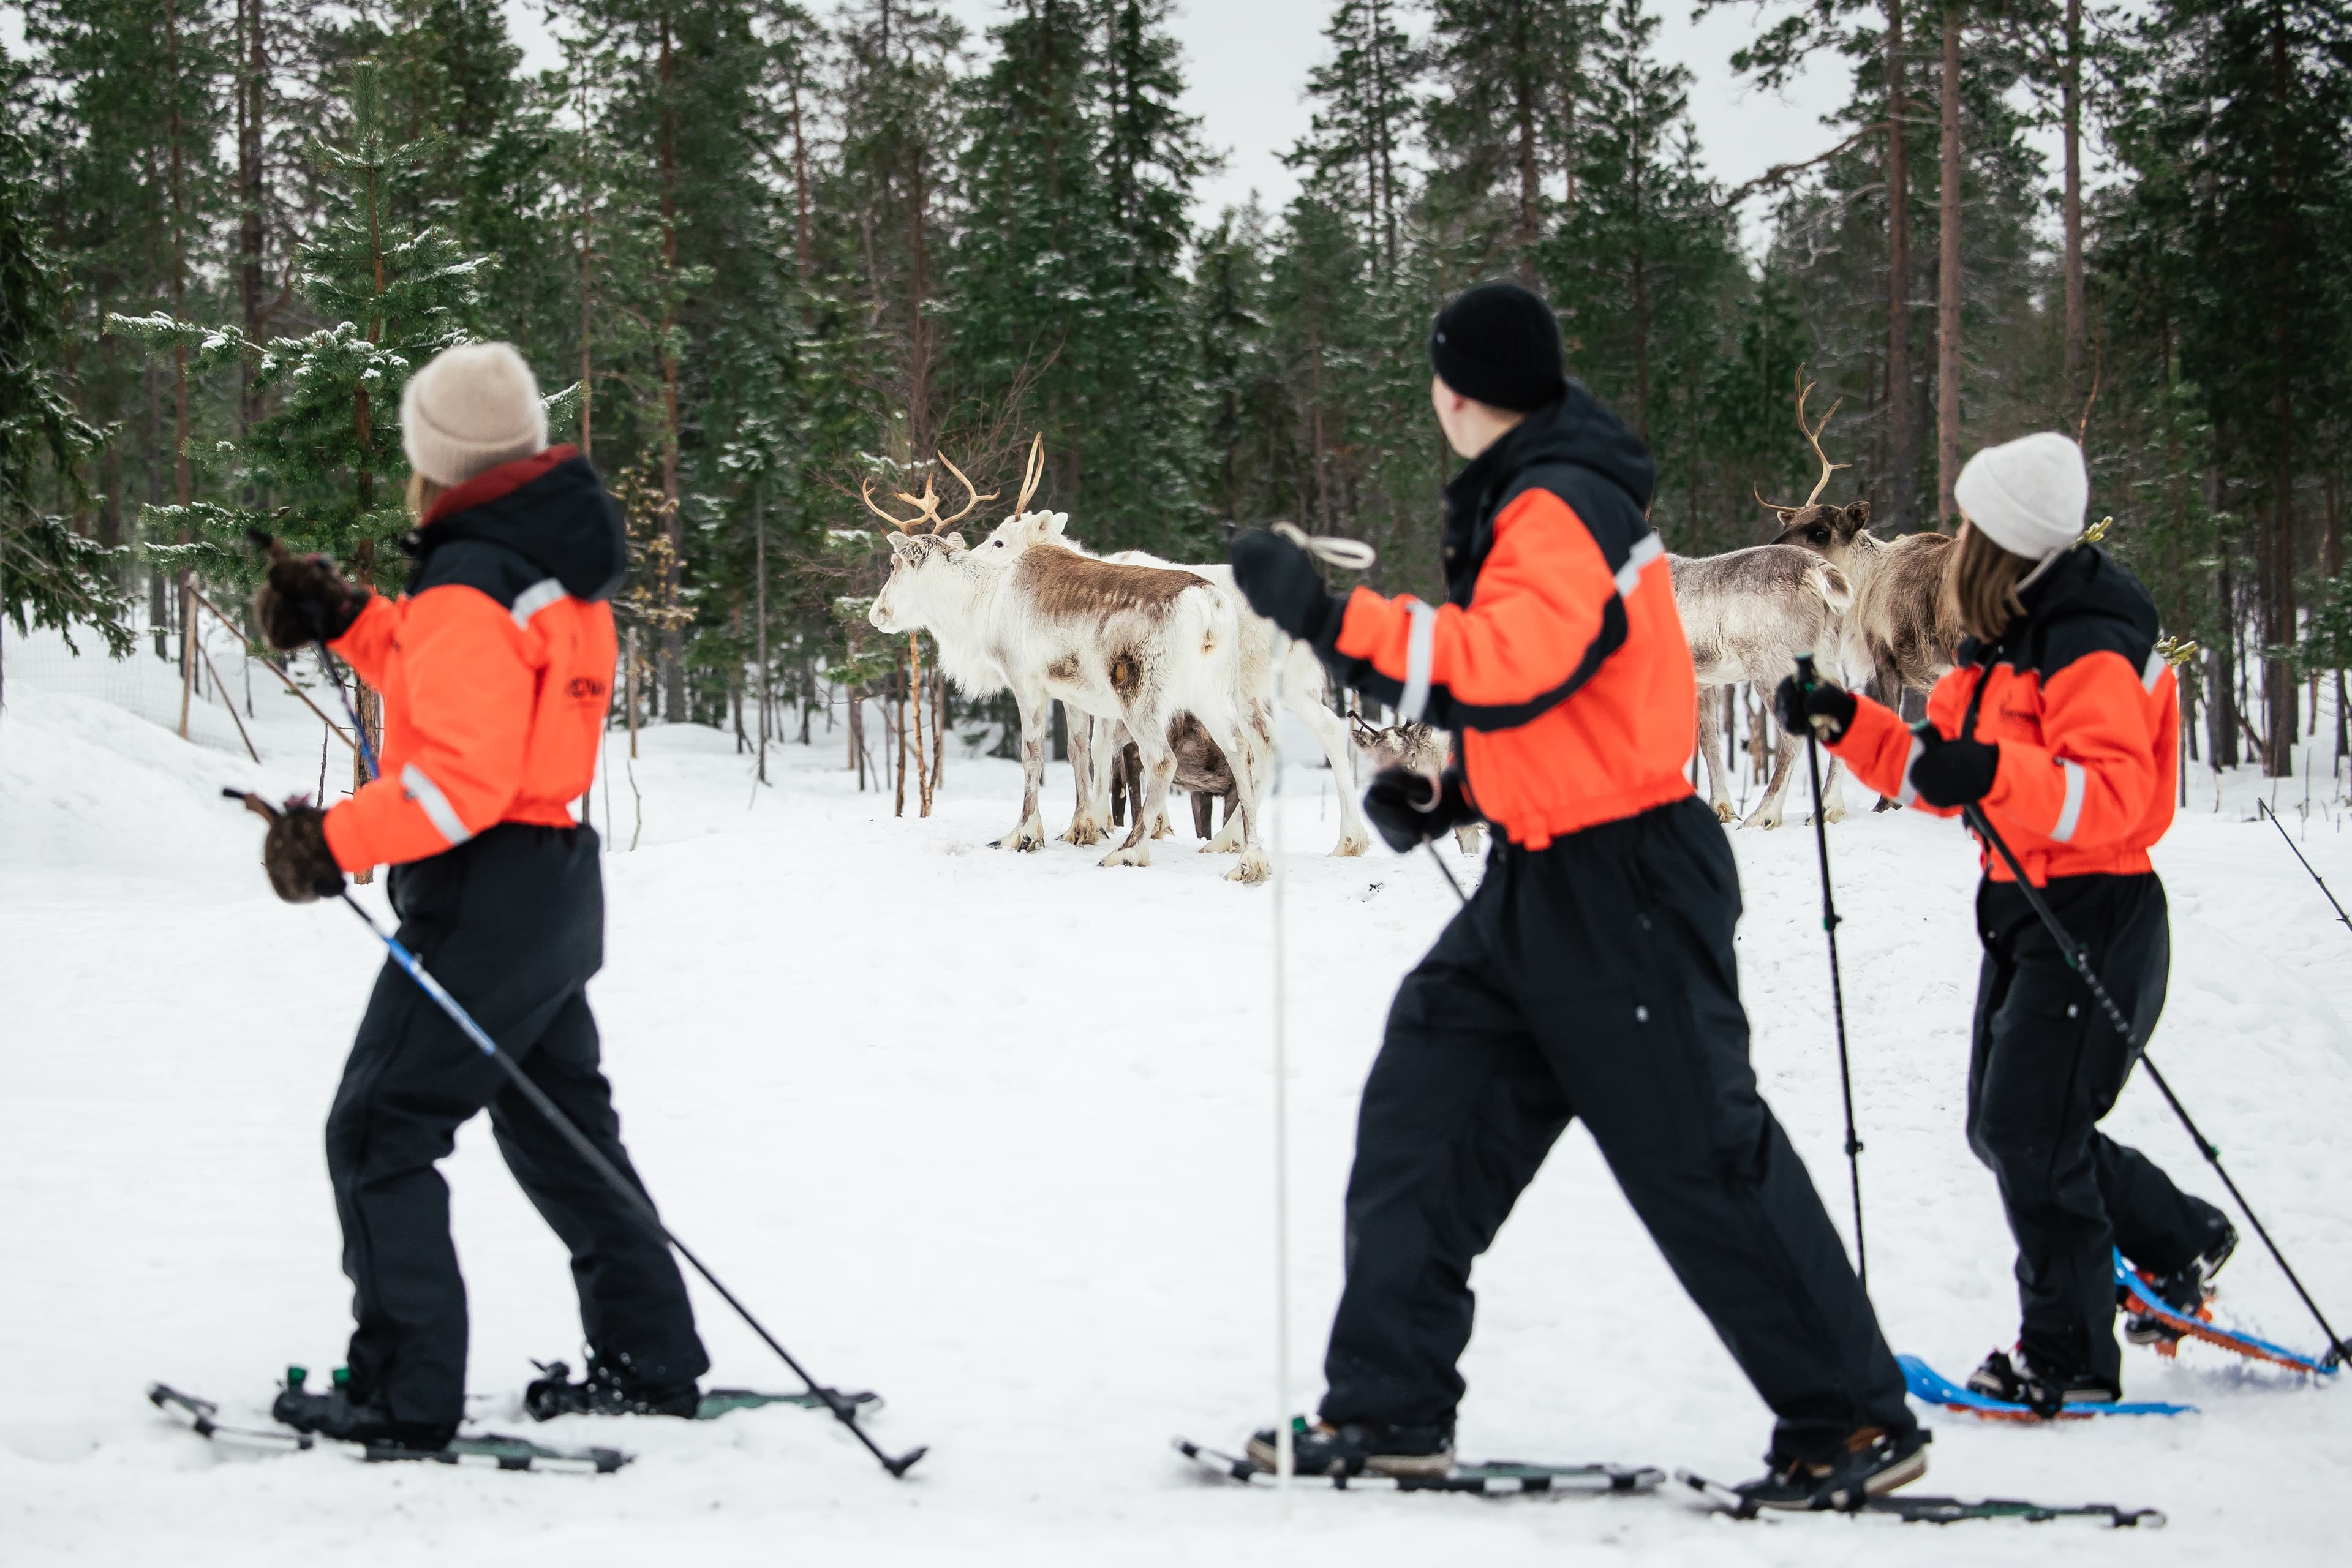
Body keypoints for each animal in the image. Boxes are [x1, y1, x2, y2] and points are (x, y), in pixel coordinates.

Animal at [864, 437, 1280, 883]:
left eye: (895, 565)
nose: (877, 613)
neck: (981, 604)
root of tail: (1211, 607)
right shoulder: (1071, 692)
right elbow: (1076, 751)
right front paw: (1080, 829)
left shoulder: (1025, 680)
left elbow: (1032, 754)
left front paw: (1023, 834)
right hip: (1212, 691)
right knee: (1242, 750)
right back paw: (1249, 859)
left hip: (1141, 695)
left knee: (1163, 760)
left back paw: (1130, 850)